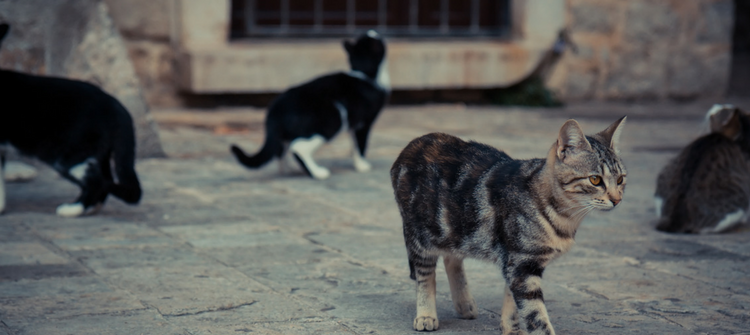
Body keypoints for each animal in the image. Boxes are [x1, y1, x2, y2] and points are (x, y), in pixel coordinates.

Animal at [0, 23, 142, 218]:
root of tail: (117, 106)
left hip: (70, 155)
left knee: (97, 181)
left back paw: (72, 209)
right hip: (98, 153)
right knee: (104, 178)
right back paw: (91, 208)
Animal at [232, 30, 390, 180]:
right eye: (378, 41)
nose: (375, 32)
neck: (364, 74)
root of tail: (275, 111)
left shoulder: (354, 124)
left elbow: (354, 145)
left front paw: (357, 163)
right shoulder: (364, 123)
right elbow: (361, 145)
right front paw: (362, 166)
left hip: (288, 133)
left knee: (280, 149)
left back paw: (289, 170)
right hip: (332, 121)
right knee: (298, 148)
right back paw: (317, 172)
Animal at [394, 117, 628, 334]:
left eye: (621, 180)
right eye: (595, 180)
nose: (617, 200)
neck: (564, 216)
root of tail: (413, 144)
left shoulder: (516, 261)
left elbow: (513, 301)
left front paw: (511, 328)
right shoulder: (522, 264)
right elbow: (536, 315)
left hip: (454, 228)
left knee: (452, 257)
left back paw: (464, 305)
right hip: (421, 235)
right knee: (425, 273)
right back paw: (426, 315)